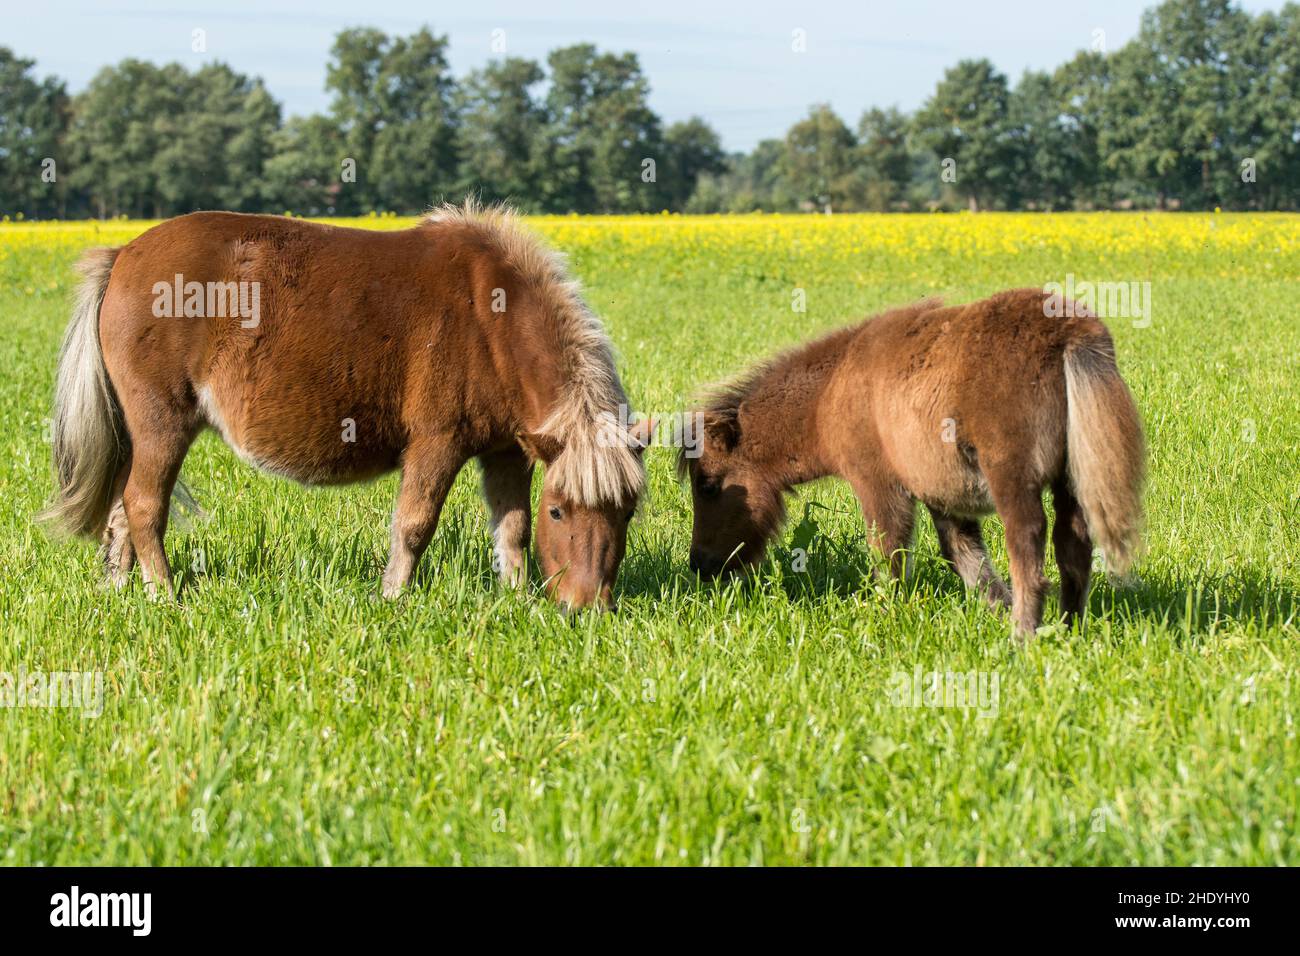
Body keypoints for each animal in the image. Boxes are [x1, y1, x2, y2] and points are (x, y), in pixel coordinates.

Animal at [43, 201, 650, 608]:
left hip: (137, 433)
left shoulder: (507, 451)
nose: (585, 608)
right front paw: (394, 597)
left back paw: (122, 590)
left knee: (120, 512)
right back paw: (164, 594)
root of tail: (123, 255)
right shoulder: (438, 442)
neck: (490, 316)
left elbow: (512, 528)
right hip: (161, 424)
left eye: (626, 512)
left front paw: (517, 599)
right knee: (144, 506)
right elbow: (415, 524)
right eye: (560, 511)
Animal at [681, 287, 1149, 639]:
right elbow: (966, 558)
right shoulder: (941, 496)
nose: (700, 565)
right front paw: (996, 608)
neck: (832, 389)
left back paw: (1023, 637)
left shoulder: (879, 485)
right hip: (1069, 483)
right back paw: (1068, 631)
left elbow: (889, 553)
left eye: (708, 485)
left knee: (1028, 543)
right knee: (1073, 546)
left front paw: (885, 616)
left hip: (1013, 478)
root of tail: (1069, 333)